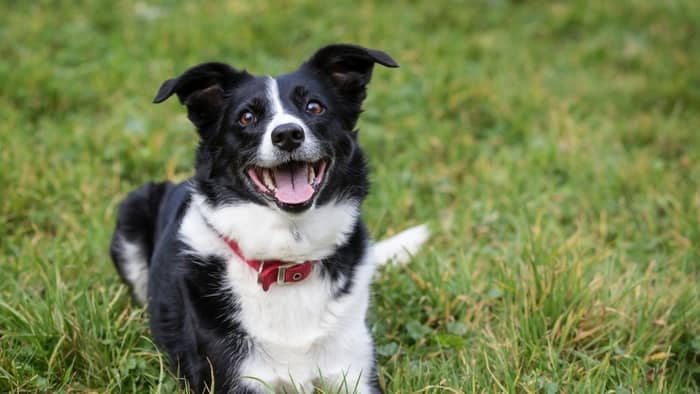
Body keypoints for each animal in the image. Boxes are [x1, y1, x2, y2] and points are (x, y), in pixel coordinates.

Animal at [109, 44, 426, 392]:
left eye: (314, 107)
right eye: (247, 117)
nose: (288, 134)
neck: (287, 262)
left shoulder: (354, 374)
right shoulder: (233, 379)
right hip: (131, 211)